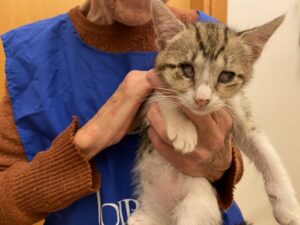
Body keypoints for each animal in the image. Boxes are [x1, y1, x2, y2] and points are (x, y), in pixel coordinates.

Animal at [127, 0, 300, 225]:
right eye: (187, 69)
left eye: (226, 76)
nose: (202, 99)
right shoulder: (148, 96)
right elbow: (163, 99)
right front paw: (184, 132)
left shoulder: (238, 109)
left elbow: (265, 151)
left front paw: (287, 206)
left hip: (196, 207)